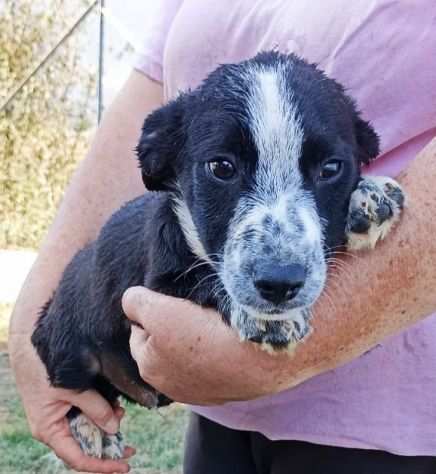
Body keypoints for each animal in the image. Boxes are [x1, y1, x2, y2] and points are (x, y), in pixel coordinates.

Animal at [30, 51, 406, 460]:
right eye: (222, 167)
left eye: (332, 168)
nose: (279, 284)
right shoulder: (157, 286)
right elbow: (205, 280)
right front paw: (265, 315)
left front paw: (368, 196)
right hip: (66, 342)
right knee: (73, 385)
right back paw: (91, 425)